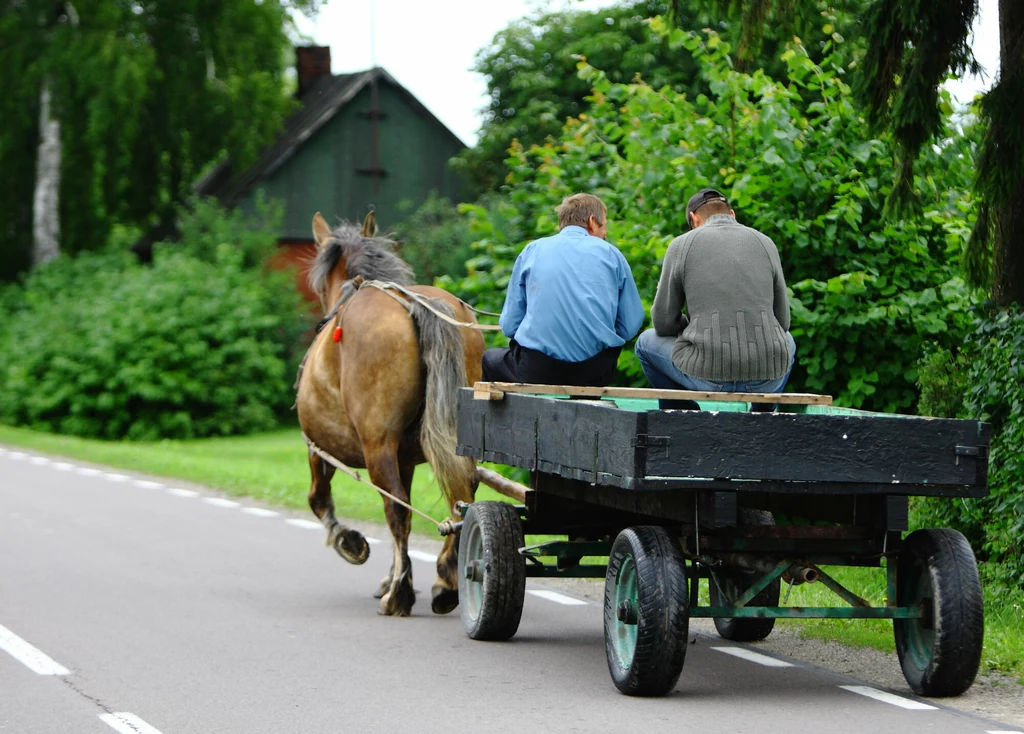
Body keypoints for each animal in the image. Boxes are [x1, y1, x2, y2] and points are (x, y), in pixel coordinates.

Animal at [296, 208, 483, 614]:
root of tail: (418, 305)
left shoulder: (318, 448)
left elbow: (319, 500)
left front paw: (351, 543)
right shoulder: (407, 458)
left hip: (377, 444)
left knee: (396, 508)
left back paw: (398, 595)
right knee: (461, 496)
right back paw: (446, 582)